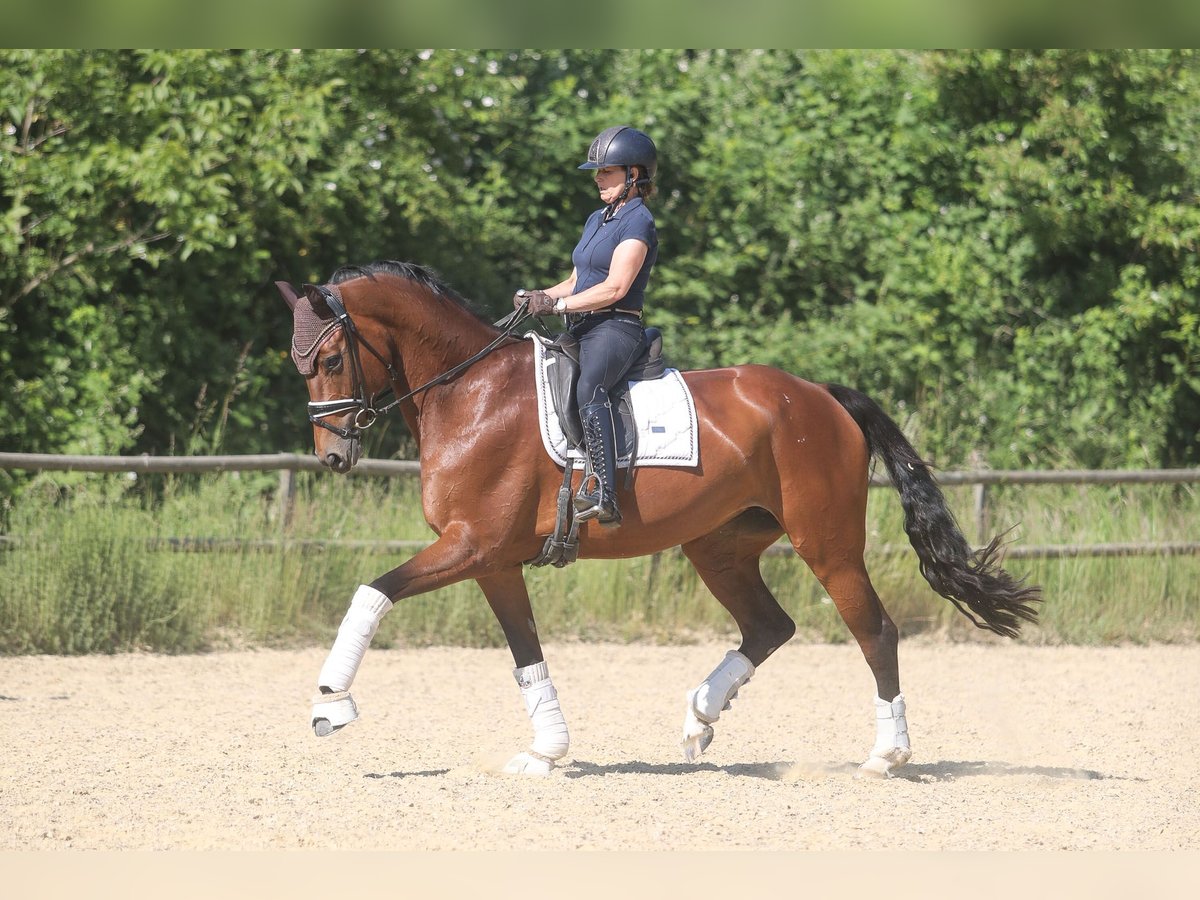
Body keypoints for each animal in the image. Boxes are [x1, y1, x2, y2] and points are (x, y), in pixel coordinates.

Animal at [274, 256, 1041, 777]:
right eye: (298, 363)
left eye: (333, 358)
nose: (333, 456)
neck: (470, 392)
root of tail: (821, 395)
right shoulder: (491, 560)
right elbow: (526, 654)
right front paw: (546, 752)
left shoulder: (471, 546)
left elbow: (371, 593)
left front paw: (330, 704)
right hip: (719, 546)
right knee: (770, 625)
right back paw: (700, 718)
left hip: (825, 543)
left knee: (874, 631)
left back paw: (887, 754)